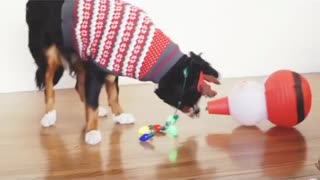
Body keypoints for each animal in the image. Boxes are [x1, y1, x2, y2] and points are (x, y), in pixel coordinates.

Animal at [25, 0, 221, 144]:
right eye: (193, 95)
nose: (198, 112)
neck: (145, 49)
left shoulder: (111, 65)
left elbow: (113, 95)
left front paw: (118, 115)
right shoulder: (96, 69)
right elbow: (93, 102)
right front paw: (92, 130)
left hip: (81, 53)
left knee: (79, 85)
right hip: (50, 55)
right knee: (49, 83)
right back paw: (49, 115)